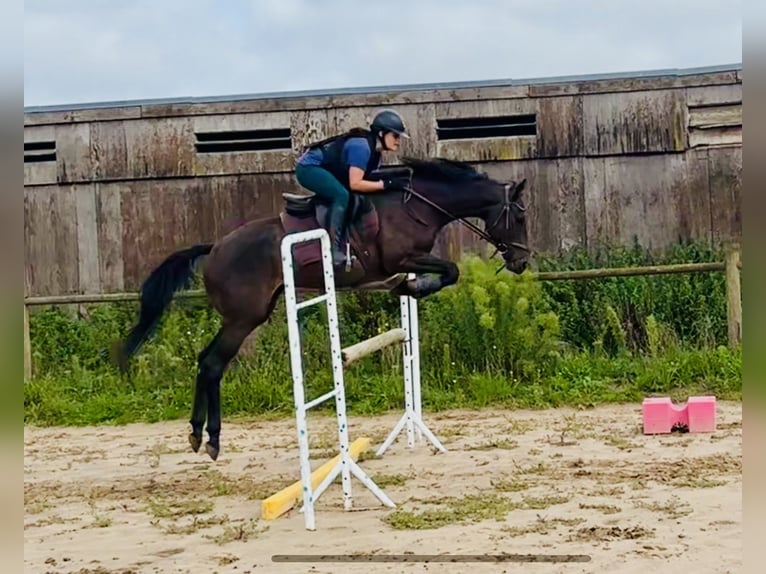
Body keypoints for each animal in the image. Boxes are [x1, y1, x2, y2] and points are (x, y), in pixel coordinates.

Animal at [115, 155, 536, 462]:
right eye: (519, 216)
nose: (521, 262)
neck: (417, 205)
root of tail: (215, 247)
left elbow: (448, 272)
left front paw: (410, 287)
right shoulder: (401, 258)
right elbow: (450, 270)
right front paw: (415, 286)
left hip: (250, 314)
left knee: (205, 360)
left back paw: (196, 432)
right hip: (243, 318)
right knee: (212, 364)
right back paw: (211, 438)